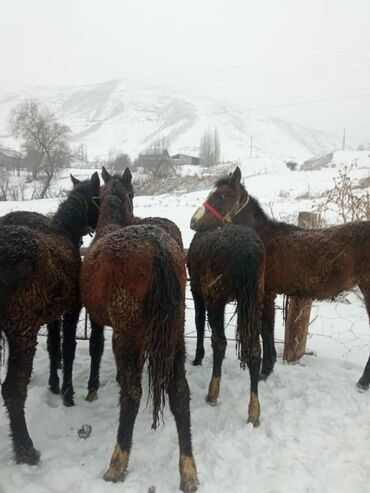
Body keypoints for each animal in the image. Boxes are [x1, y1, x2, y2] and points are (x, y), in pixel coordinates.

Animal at [0, 171, 99, 464]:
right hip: (22, 332)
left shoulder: (53, 313)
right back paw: (26, 449)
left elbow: (55, 347)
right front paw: (67, 394)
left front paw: (55, 385)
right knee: (12, 389)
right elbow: (68, 347)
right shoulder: (71, 309)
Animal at [79, 167, 198, 490]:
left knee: (132, 394)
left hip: (129, 334)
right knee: (179, 392)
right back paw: (188, 468)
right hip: (174, 333)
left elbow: (97, 350)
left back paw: (117, 462)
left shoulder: (101, 323)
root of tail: (157, 248)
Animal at [188, 225, 266, 424]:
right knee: (254, 349)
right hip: (254, 299)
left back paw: (212, 393)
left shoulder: (197, 291)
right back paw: (254, 411)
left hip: (215, 297)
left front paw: (198, 357)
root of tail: (248, 252)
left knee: (219, 341)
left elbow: (199, 322)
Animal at [189, 167, 370, 390]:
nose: (193, 222)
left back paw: (363, 382)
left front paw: (264, 371)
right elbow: (267, 329)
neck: (264, 240)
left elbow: (266, 330)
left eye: (221, 196)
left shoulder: (265, 293)